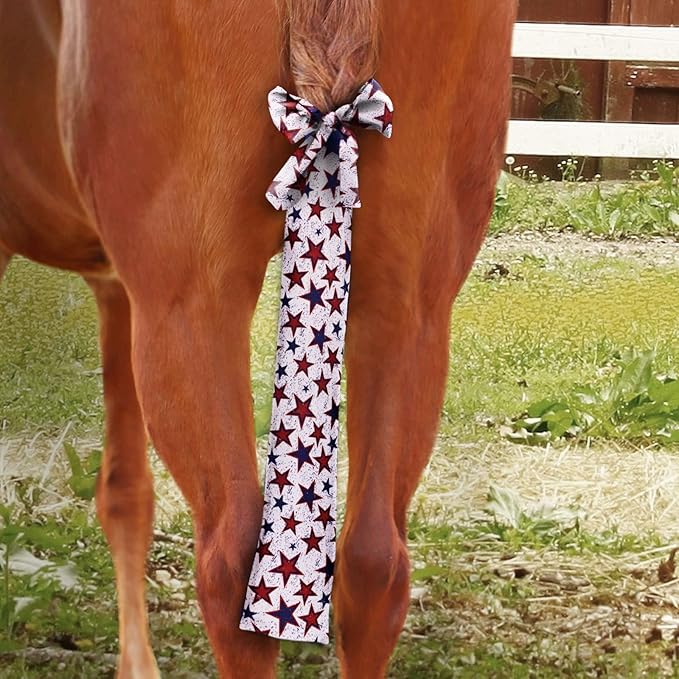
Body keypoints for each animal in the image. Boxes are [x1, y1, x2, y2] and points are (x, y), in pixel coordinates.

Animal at [0, 1, 517, 676]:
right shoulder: (116, 286)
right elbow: (126, 493)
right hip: (411, 308)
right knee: (374, 563)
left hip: (188, 307)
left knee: (229, 566)